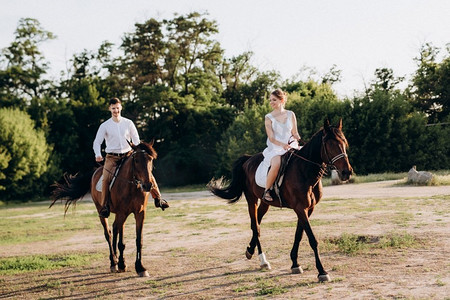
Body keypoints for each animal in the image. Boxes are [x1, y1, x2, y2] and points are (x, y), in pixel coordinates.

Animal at [50, 141, 167, 276]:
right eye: (136, 160)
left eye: (150, 159)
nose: (147, 185)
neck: (132, 186)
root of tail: (96, 171)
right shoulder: (122, 213)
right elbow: (116, 237)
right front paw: (119, 264)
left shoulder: (140, 213)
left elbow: (138, 240)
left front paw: (140, 267)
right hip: (102, 211)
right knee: (109, 234)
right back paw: (114, 262)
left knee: (117, 230)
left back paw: (120, 261)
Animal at [209, 119, 354, 282]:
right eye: (330, 144)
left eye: (344, 143)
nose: (346, 172)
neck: (305, 171)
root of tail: (248, 160)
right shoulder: (300, 208)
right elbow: (312, 238)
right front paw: (322, 271)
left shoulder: (308, 209)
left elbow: (299, 235)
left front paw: (295, 263)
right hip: (251, 199)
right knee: (255, 226)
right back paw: (263, 260)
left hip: (265, 203)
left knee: (257, 224)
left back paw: (250, 250)